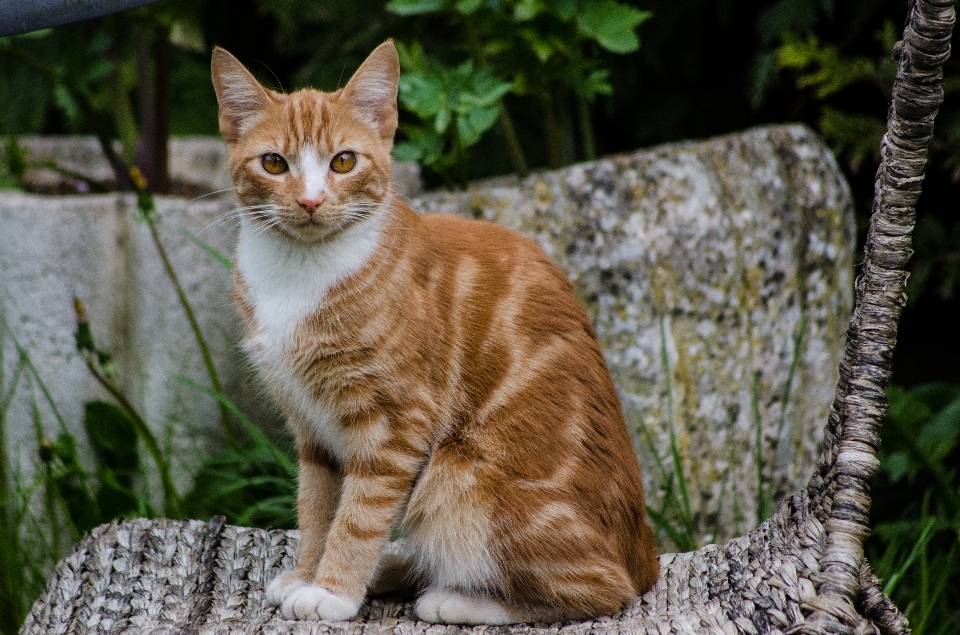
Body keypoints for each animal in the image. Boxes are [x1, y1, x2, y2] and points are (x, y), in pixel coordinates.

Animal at [210, 41, 660, 628]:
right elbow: (317, 508)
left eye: (343, 161)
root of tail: (643, 552)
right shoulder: (312, 430)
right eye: (274, 163)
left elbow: (359, 515)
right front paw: (308, 572)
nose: (310, 202)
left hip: (457, 477)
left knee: (601, 590)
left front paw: (332, 591)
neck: (299, 273)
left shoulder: (396, 422)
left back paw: (455, 597)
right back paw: (398, 569)